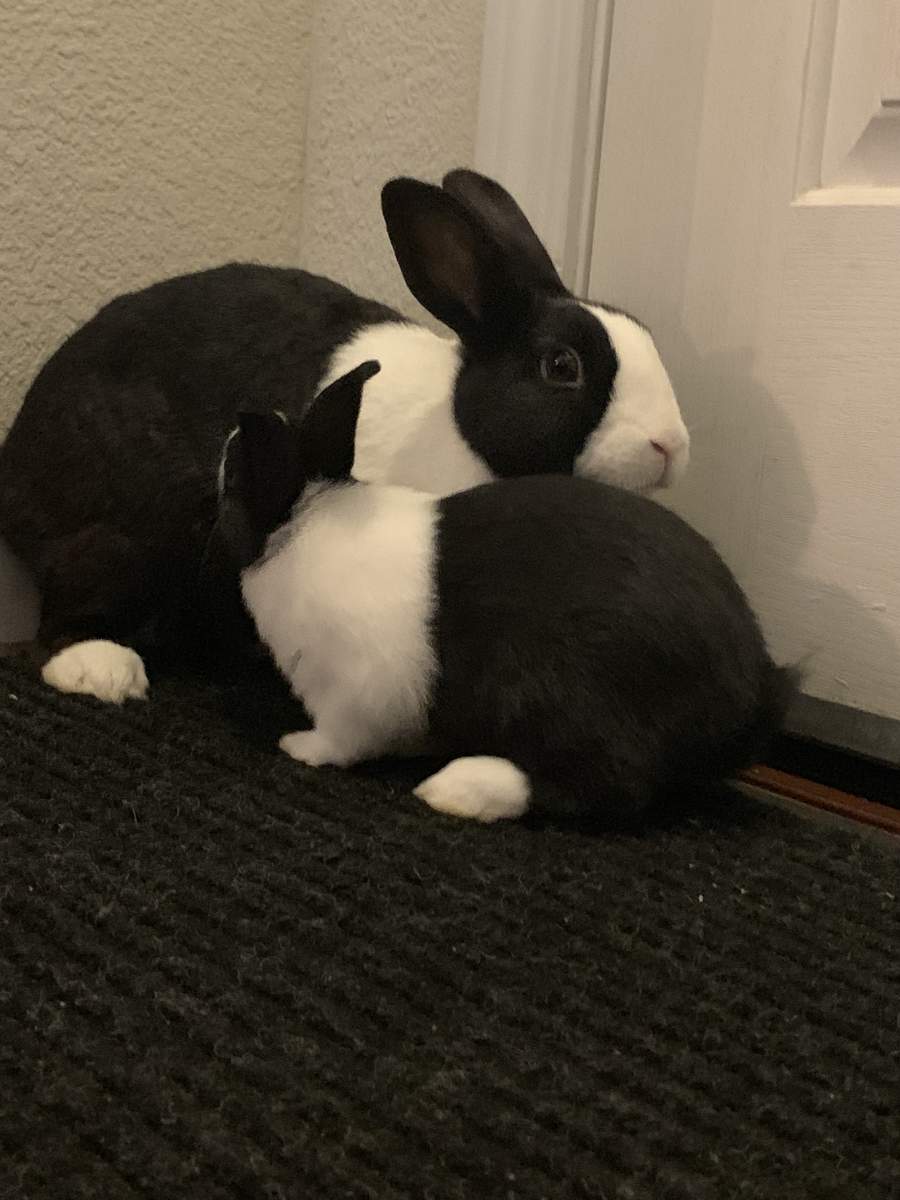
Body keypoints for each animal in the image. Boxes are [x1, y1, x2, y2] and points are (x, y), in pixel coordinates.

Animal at [0, 167, 689, 706]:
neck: (465, 436)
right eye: (561, 366)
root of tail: (15, 467)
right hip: (130, 529)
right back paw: (104, 670)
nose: (671, 445)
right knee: (64, 612)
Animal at [218, 360, 794, 826]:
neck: (301, 527)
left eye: (232, 488)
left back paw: (456, 789)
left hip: (561, 694)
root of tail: (753, 694)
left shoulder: (355, 692)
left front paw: (300, 747)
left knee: (603, 784)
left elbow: (344, 740)